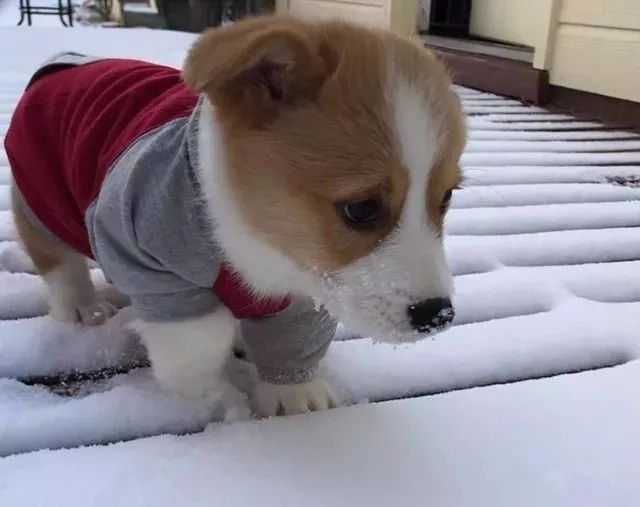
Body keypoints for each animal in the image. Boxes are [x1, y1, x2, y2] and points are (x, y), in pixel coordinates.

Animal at [6, 17, 464, 418]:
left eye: (445, 197)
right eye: (361, 208)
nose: (438, 316)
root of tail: (66, 61)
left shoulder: (307, 287)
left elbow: (293, 343)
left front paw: (294, 396)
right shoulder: (146, 257)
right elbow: (196, 344)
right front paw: (207, 398)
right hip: (41, 193)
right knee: (57, 261)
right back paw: (82, 306)